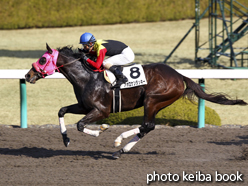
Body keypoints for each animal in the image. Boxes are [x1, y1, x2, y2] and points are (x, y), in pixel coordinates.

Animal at [24, 43, 246, 158]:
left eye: (43, 59)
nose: (27, 75)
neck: (87, 77)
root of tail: (179, 75)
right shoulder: (84, 106)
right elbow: (62, 111)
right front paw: (66, 139)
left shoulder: (101, 110)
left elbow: (80, 124)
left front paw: (101, 130)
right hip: (158, 103)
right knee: (148, 127)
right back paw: (121, 150)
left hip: (152, 99)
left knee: (147, 125)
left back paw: (119, 140)